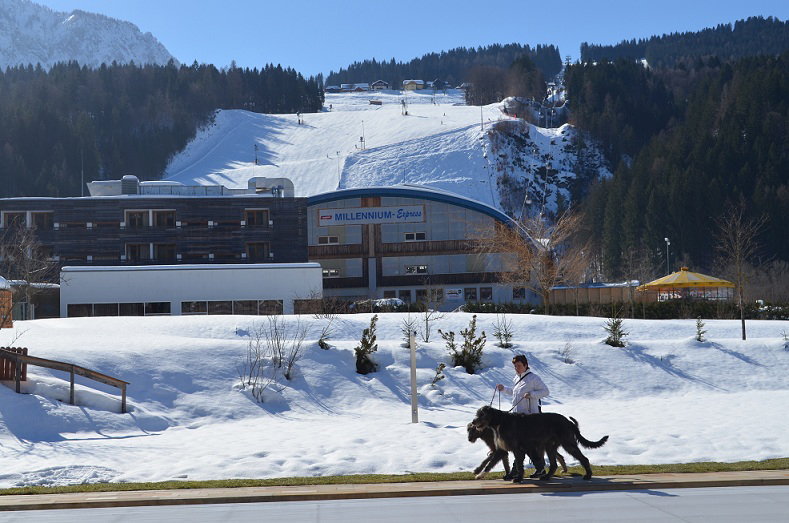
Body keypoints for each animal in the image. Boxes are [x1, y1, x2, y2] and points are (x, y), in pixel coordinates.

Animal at [470, 406, 608, 484]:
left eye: (482, 414)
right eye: (477, 413)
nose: (473, 421)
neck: (499, 421)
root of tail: (568, 422)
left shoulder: (517, 449)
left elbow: (518, 465)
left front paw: (518, 478)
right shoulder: (501, 450)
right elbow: (489, 463)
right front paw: (480, 475)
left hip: (567, 443)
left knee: (584, 458)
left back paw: (588, 475)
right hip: (550, 445)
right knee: (554, 464)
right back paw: (546, 476)